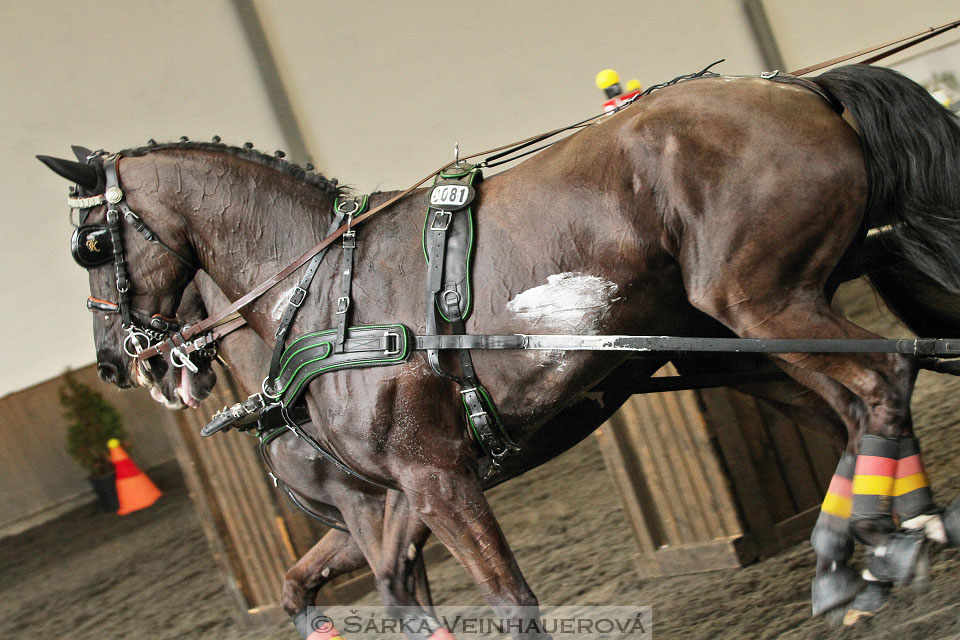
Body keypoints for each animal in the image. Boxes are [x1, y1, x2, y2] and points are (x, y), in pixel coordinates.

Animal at [41, 65, 960, 636]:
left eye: (92, 243)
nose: (117, 363)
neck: (321, 295)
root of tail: (805, 87)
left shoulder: (431, 479)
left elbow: (502, 603)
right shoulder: (385, 502)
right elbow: (317, 587)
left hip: (763, 302)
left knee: (884, 375)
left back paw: (900, 534)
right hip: (745, 338)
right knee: (853, 412)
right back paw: (865, 553)